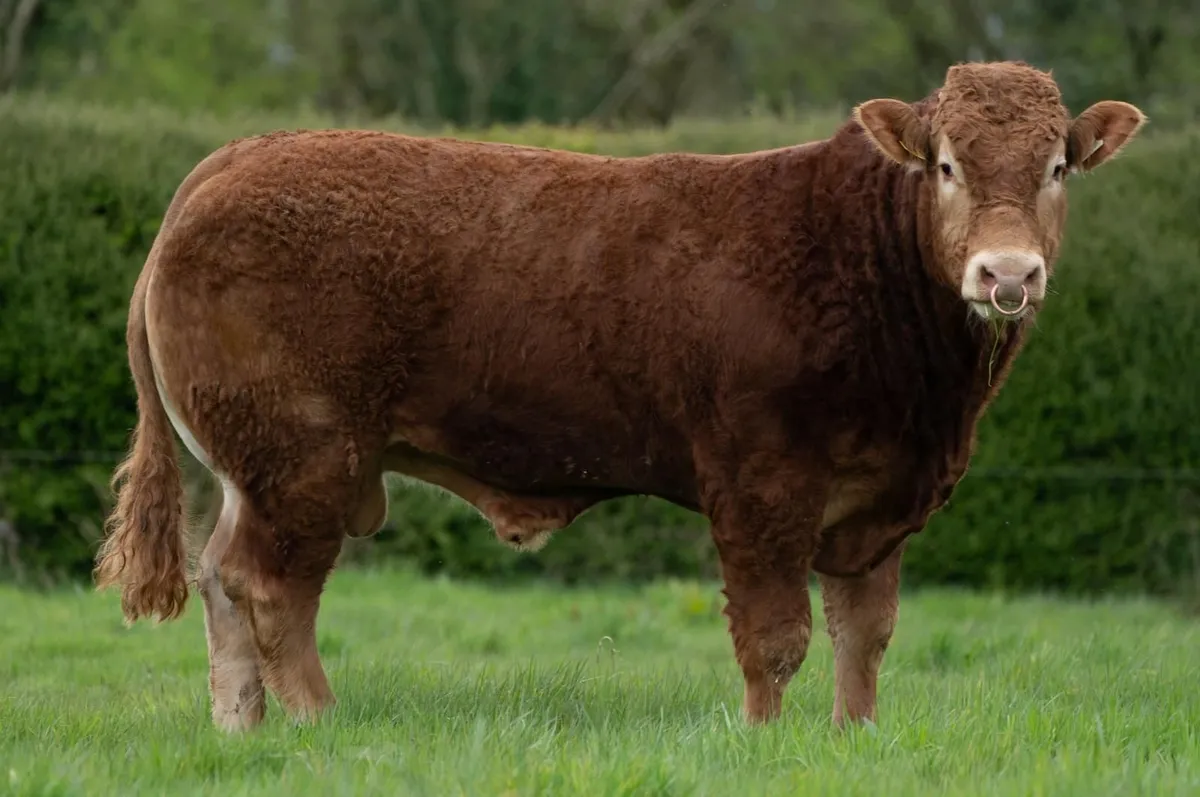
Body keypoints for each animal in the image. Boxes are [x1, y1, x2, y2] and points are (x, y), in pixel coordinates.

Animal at [93, 60, 1144, 732]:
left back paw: (244, 730)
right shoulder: (760, 484)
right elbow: (776, 636)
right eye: (948, 165)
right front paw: (767, 743)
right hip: (303, 458)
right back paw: (319, 726)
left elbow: (866, 634)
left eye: (1056, 166)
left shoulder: (878, 500)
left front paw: (854, 740)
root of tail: (227, 162)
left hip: (257, 470)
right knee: (270, 589)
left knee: (221, 577)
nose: (1007, 274)